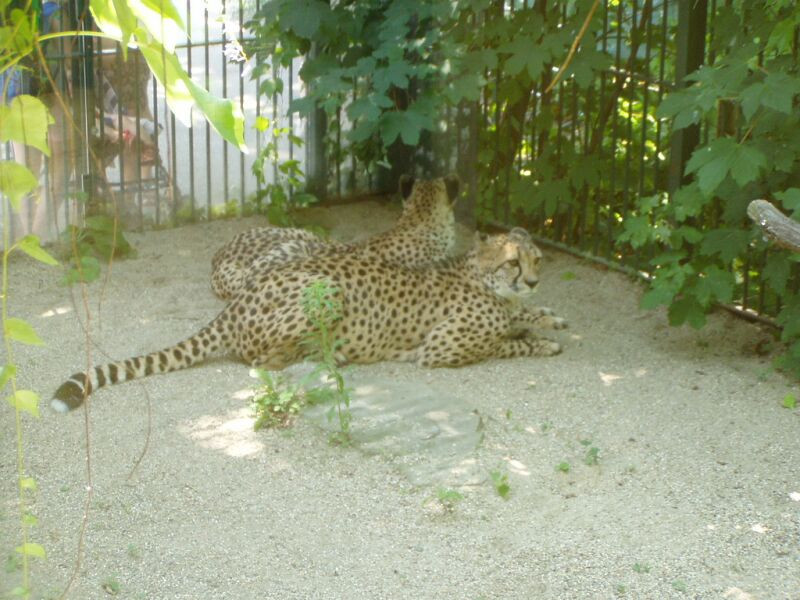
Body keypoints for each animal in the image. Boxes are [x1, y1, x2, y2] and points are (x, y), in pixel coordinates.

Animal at [51, 229, 564, 412]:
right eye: (514, 263)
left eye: (538, 259)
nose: (535, 281)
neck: (484, 280)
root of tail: (236, 302)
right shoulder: (442, 350)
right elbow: (508, 342)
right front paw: (545, 341)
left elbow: (524, 319)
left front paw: (551, 317)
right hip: (327, 290)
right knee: (260, 362)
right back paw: (323, 358)